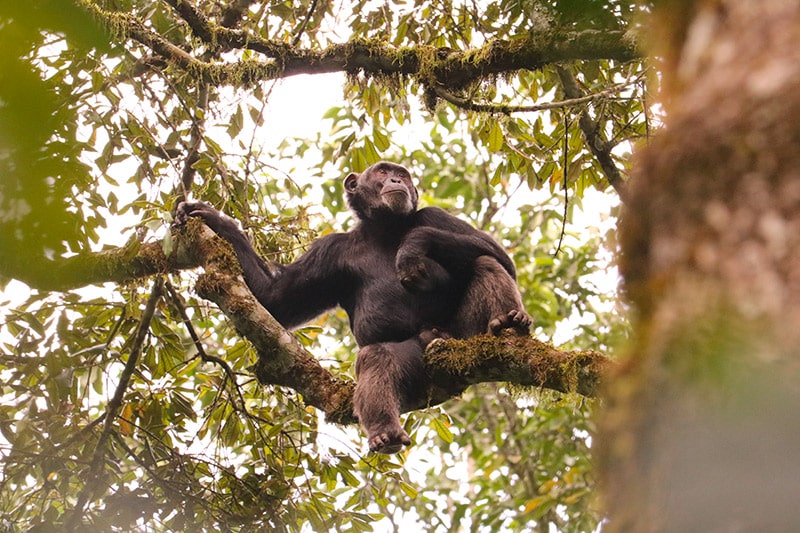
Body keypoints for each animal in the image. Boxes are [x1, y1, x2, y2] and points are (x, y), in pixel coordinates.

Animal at [175, 160, 528, 450]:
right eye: (383, 172)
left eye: (403, 174)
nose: (397, 180)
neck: (384, 228)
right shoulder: (330, 251)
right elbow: (276, 301)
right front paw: (211, 218)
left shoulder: (435, 216)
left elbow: (497, 253)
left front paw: (413, 246)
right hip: (419, 359)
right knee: (377, 357)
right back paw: (385, 433)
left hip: (465, 337)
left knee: (484, 263)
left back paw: (509, 323)